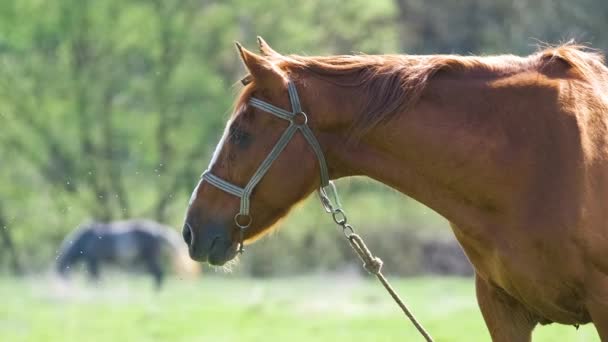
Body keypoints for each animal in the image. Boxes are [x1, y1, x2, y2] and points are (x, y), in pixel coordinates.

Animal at [56, 219, 198, 288]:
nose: (66, 287)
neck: (85, 239)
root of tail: (157, 231)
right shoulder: (94, 262)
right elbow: (94, 277)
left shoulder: (93, 261)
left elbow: (93, 277)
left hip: (149, 258)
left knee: (158, 274)